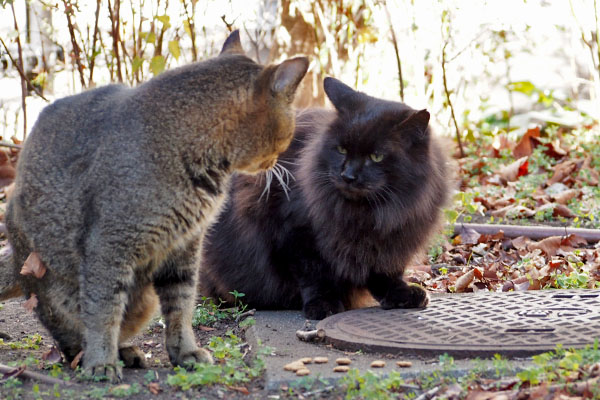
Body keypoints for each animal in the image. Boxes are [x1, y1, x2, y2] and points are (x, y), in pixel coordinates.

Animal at [0, 31, 308, 382]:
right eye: (289, 130)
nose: (278, 160)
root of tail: (16, 257)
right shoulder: (109, 246)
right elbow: (103, 312)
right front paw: (101, 362)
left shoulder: (185, 247)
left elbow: (181, 307)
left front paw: (185, 351)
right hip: (57, 287)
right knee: (70, 339)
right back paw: (100, 356)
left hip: (142, 297)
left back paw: (127, 351)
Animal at [199, 76, 452, 318]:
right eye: (341, 150)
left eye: (376, 156)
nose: (348, 175)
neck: (368, 213)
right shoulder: (296, 233)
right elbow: (315, 276)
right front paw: (323, 305)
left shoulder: (392, 239)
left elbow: (385, 273)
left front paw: (400, 294)